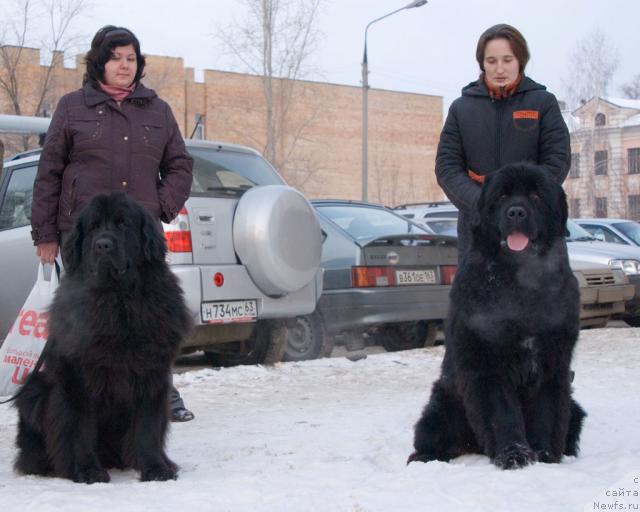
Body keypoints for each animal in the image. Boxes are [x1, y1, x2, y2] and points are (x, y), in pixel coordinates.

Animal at [14, 193, 190, 484]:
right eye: (94, 227)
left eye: (123, 224)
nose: (103, 245)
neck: (117, 300)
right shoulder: (78, 378)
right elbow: (80, 428)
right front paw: (87, 471)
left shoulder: (151, 374)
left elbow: (147, 427)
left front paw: (156, 468)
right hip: (34, 388)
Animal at [410, 166, 584, 470]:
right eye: (501, 196)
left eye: (536, 195)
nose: (516, 212)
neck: (520, 282)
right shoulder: (486, 365)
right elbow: (501, 413)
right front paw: (514, 456)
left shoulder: (552, 363)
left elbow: (547, 412)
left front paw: (544, 456)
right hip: (442, 404)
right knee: (429, 436)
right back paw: (425, 458)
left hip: (574, 406)